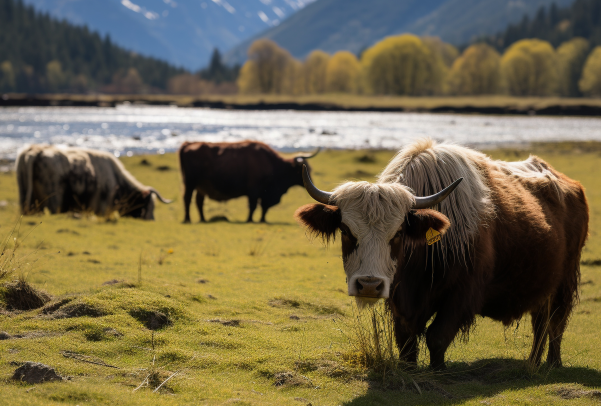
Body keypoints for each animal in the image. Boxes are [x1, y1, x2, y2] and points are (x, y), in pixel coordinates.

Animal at [178, 140, 318, 222]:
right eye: (301, 170)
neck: (273, 164)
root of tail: (189, 144)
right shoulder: (255, 191)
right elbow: (254, 206)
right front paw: (250, 219)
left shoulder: (263, 194)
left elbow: (263, 207)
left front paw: (262, 220)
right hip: (190, 183)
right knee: (187, 199)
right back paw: (187, 219)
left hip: (200, 187)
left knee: (199, 201)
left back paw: (202, 219)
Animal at [296, 140, 584, 372]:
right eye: (346, 230)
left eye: (398, 232)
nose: (369, 285)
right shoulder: (400, 300)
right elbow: (407, 341)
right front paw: (409, 370)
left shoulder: (462, 294)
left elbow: (437, 337)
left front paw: (438, 372)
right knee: (540, 321)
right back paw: (533, 364)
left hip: (565, 282)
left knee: (555, 322)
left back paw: (552, 364)